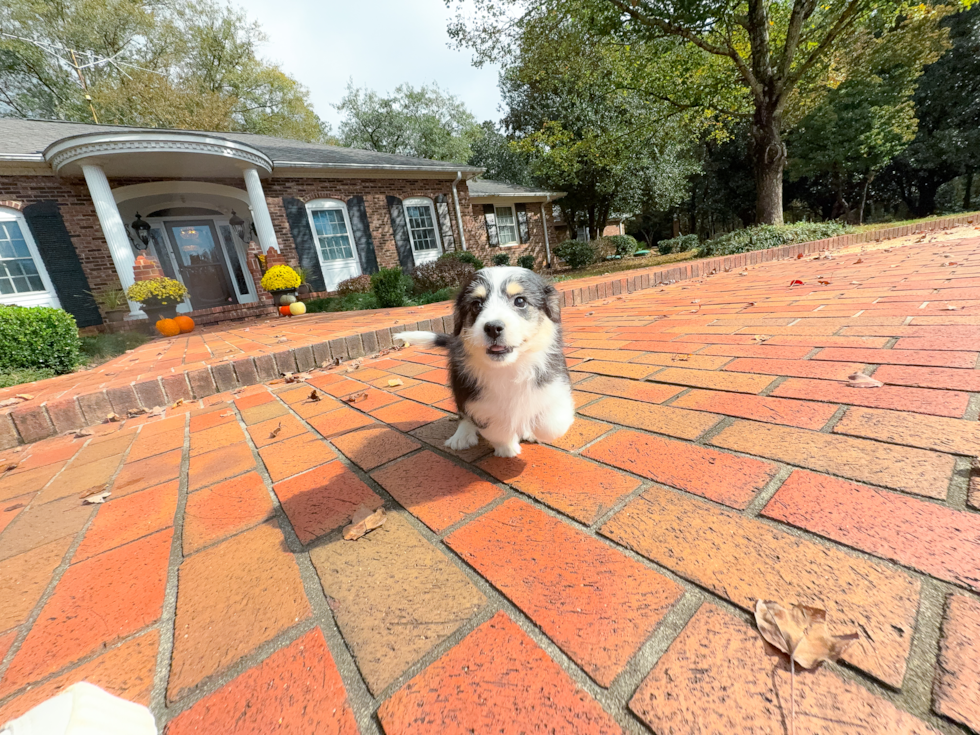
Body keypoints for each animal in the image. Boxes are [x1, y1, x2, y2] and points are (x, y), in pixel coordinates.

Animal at [392, 268, 572, 458]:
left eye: (520, 301)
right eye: (476, 304)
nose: (493, 328)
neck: (508, 368)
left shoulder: (554, 381)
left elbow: (552, 423)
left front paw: (531, 429)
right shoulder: (474, 397)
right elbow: (494, 425)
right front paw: (506, 447)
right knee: (463, 412)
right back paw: (462, 436)